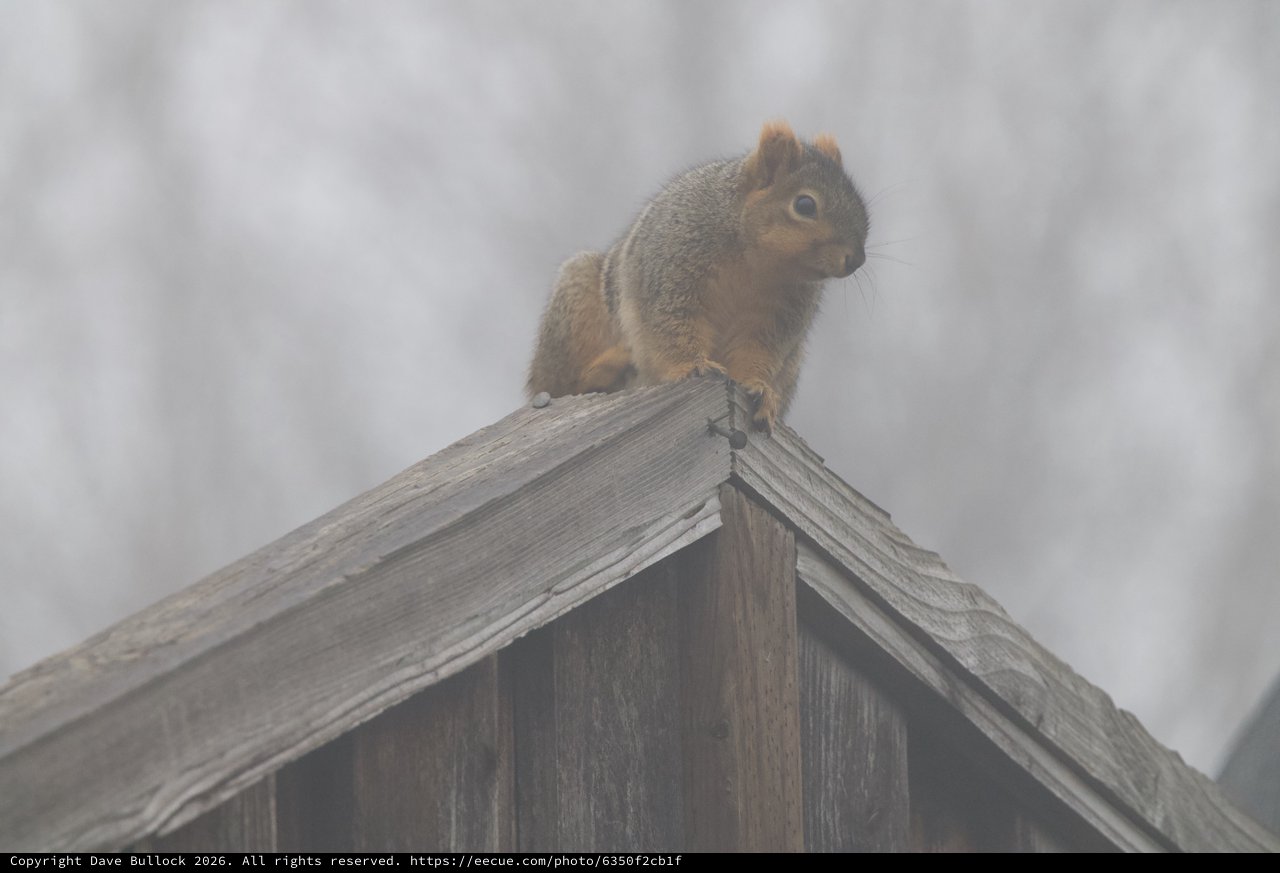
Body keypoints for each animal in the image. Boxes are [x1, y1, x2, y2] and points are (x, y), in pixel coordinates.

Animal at [526, 120, 868, 433]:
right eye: (805, 204)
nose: (856, 259)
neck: (757, 263)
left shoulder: (780, 315)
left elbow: (758, 351)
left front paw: (760, 388)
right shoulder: (673, 268)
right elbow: (671, 324)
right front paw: (694, 366)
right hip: (575, 309)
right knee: (561, 386)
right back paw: (604, 369)